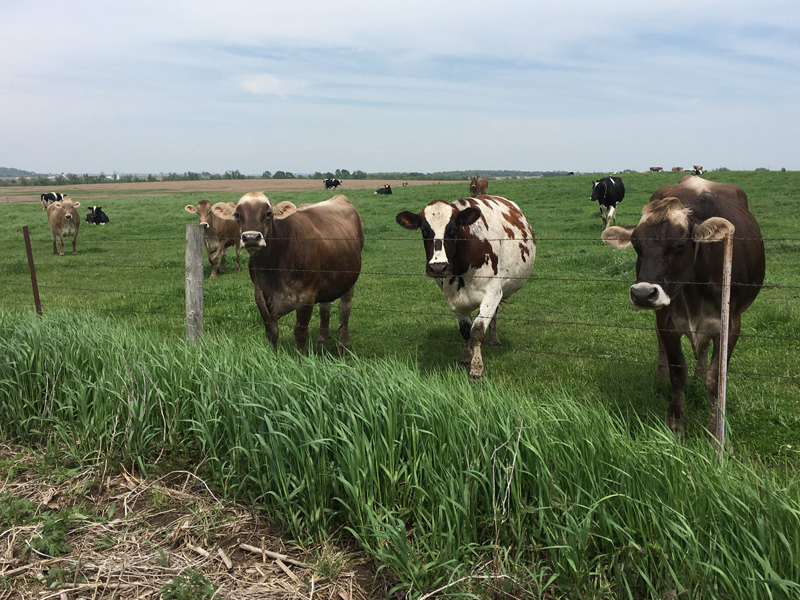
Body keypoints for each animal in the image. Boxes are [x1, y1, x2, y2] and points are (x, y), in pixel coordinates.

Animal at [212, 192, 362, 354]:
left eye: (268, 213)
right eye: (237, 215)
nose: (251, 238)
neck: (272, 271)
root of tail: (339, 197)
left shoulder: (306, 297)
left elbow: (300, 333)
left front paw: (300, 359)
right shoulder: (260, 296)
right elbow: (272, 332)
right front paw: (274, 357)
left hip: (349, 281)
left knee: (345, 311)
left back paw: (344, 346)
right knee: (325, 308)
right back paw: (322, 341)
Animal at [396, 197, 536, 380]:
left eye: (452, 229)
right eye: (425, 231)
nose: (438, 267)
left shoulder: (492, 292)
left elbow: (476, 330)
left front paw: (476, 369)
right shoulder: (454, 298)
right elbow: (465, 330)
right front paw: (466, 357)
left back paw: (494, 340)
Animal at [604, 173, 764, 440]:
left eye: (678, 245)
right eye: (637, 246)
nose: (643, 293)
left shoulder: (730, 325)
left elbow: (715, 378)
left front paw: (716, 431)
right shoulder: (667, 321)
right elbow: (677, 371)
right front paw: (676, 425)